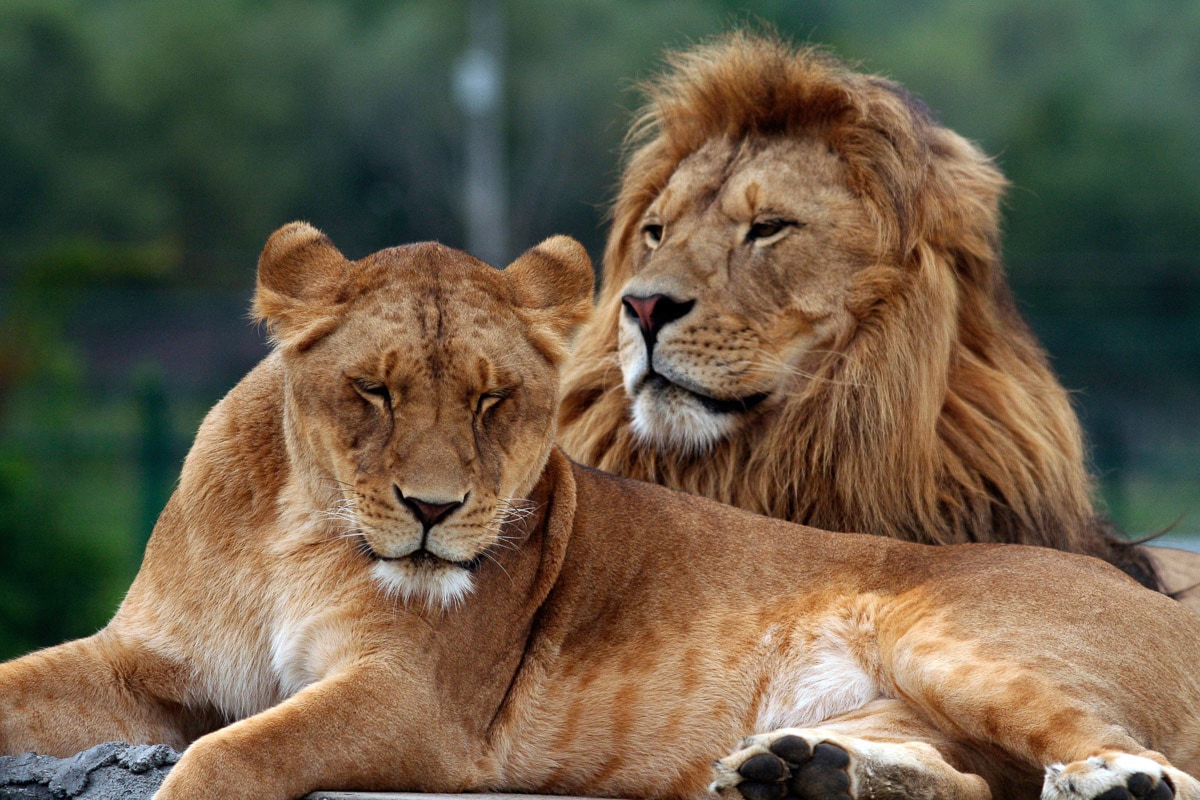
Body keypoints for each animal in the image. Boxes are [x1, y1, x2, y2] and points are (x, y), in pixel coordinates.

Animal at [2, 219, 1200, 800]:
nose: (433, 510)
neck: (300, 525)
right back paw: (800, 773)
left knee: (1137, 762)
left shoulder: (421, 705)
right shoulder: (148, 663)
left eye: (493, 401)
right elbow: (20, 684)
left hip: (946, 637)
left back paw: (1118, 785)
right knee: (970, 778)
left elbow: (231, 756)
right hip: (900, 700)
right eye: (375, 392)